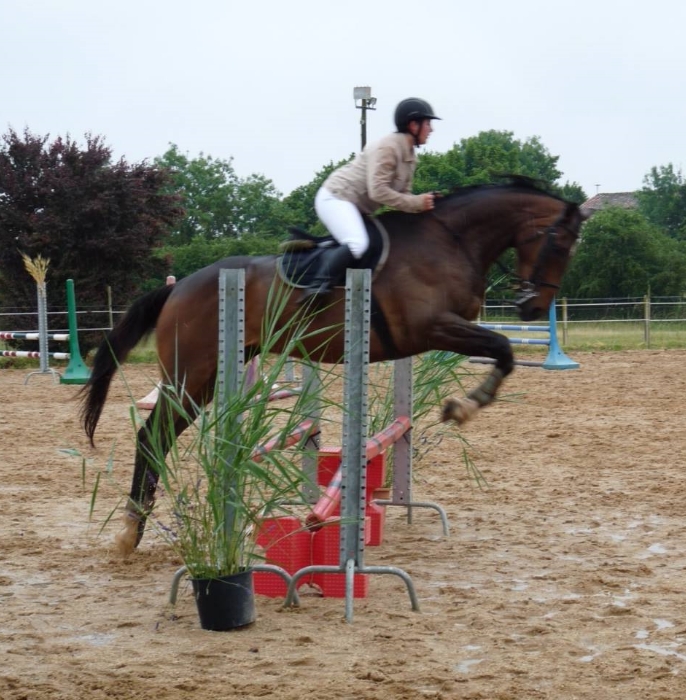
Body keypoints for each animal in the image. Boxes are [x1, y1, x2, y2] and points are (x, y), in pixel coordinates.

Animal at [79, 179, 584, 552]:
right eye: (560, 242)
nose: (532, 308)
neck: (451, 240)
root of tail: (177, 288)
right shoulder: (433, 326)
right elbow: (503, 348)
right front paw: (466, 405)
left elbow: (502, 351)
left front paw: (465, 404)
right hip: (192, 375)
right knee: (152, 436)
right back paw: (130, 531)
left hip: (208, 379)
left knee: (160, 436)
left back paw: (136, 527)